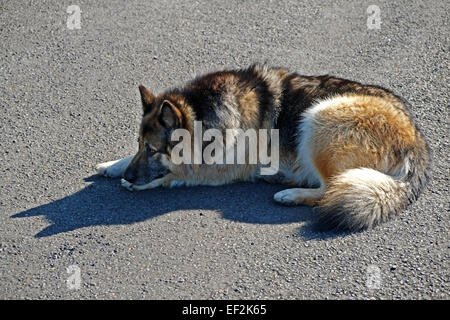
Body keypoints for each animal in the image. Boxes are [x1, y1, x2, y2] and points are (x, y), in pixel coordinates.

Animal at [96, 64, 432, 230]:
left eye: (154, 150)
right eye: (140, 145)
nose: (128, 175)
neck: (202, 111)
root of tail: (416, 140)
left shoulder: (217, 168)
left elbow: (175, 172)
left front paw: (135, 184)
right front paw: (113, 165)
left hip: (319, 118)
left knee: (330, 188)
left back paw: (291, 194)